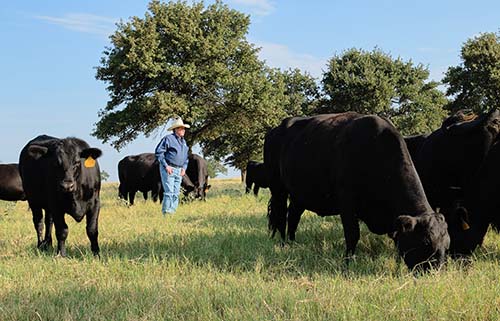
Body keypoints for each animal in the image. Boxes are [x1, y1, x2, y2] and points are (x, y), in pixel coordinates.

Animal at [264, 112, 452, 270]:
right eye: (426, 243)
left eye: (447, 244)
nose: (436, 271)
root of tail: (275, 129)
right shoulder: (346, 202)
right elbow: (352, 234)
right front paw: (348, 262)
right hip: (278, 189)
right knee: (281, 217)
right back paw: (283, 244)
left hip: (299, 194)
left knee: (293, 216)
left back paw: (292, 243)